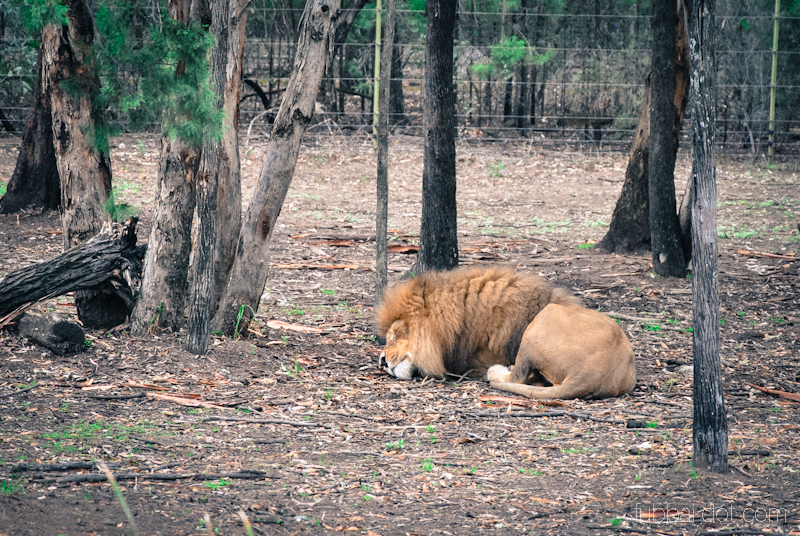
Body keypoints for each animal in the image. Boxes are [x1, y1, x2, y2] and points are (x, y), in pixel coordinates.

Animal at [376, 266, 635, 400]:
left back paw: (497, 372)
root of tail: (591, 375)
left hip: (544, 318)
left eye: (395, 333)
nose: (382, 360)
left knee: (516, 377)